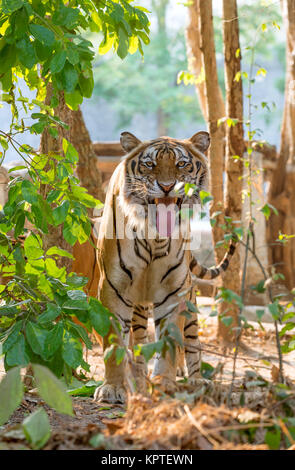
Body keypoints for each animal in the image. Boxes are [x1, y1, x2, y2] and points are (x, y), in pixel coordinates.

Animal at [93, 130, 237, 402]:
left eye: (181, 164)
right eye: (150, 164)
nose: (167, 187)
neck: (154, 239)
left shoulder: (174, 291)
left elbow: (171, 343)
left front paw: (164, 383)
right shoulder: (114, 288)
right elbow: (115, 344)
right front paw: (113, 388)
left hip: (190, 299)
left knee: (192, 342)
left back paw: (197, 380)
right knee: (138, 338)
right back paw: (138, 375)